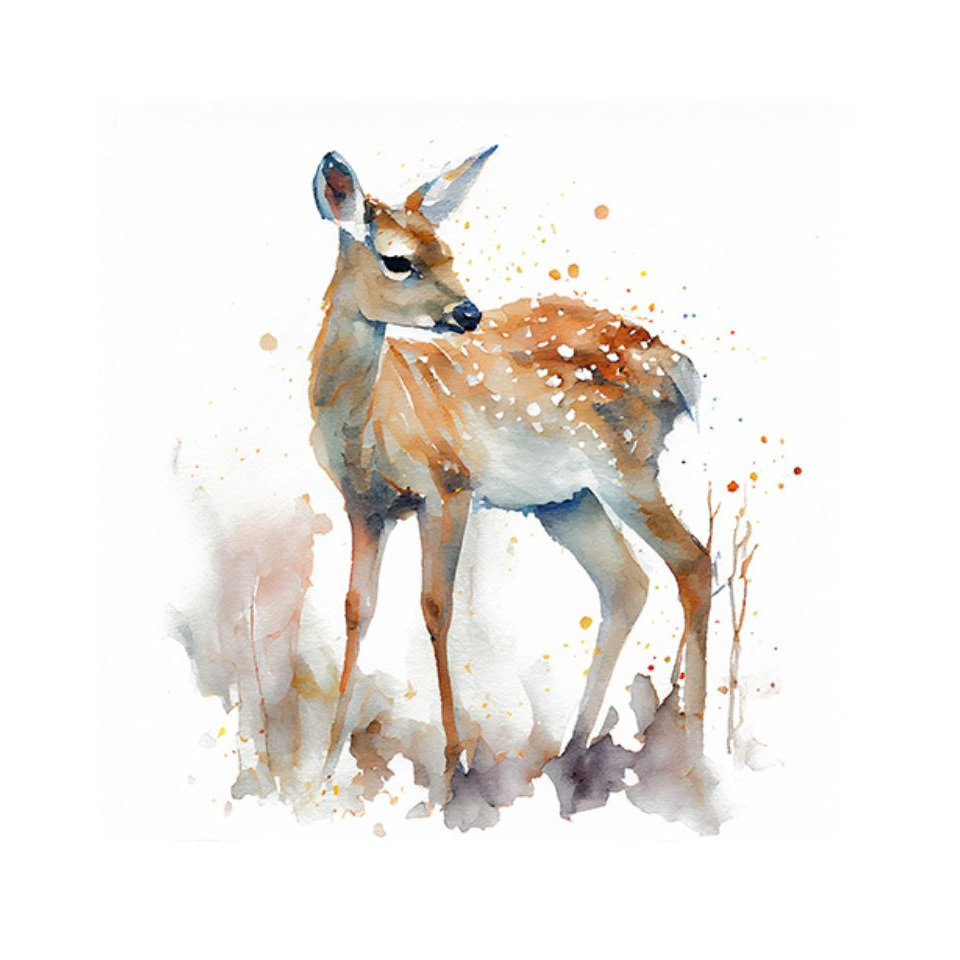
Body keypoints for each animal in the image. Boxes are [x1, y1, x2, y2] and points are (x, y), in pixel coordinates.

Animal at [308, 147, 712, 805]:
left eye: (449, 251)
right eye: (397, 260)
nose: (468, 313)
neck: (367, 423)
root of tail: (680, 367)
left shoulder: (448, 485)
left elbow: (435, 607)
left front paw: (452, 770)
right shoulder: (363, 505)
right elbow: (355, 609)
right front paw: (322, 768)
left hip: (628, 468)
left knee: (693, 561)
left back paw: (693, 755)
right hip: (567, 500)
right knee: (625, 582)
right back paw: (572, 754)